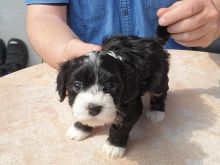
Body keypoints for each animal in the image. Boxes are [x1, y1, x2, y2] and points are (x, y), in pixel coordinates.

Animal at [56, 25, 170, 159]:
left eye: (111, 86)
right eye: (77, 85)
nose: (93, 108)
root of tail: (154, 40)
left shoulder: (131, 104)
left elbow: (120, 127)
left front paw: (114, 146)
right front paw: (79, 129)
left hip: (158, 77)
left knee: (160, 92)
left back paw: (157, 112)